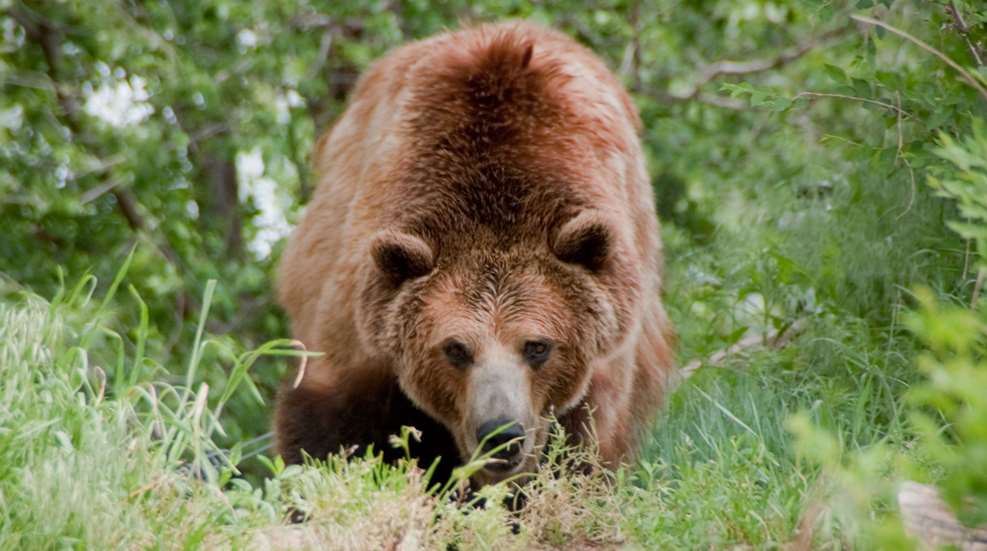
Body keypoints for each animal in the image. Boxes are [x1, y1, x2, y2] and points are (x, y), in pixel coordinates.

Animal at [274, 20, 675, 487]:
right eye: (456, 348)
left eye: (537, 346)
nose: (501, 434)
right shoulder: (359, 318)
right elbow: (332, 428)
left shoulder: (606, 355)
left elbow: (584, 448)